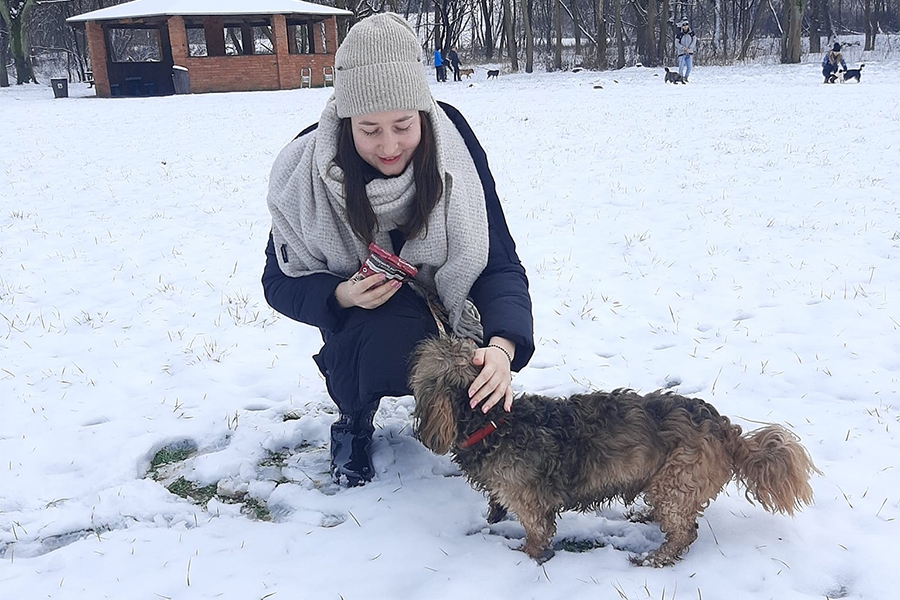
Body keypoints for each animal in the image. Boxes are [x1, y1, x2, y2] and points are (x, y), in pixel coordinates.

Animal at [412, 338, 820, 568]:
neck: (494, 422)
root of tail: (724, 428)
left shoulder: (530, 504)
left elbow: (537, 535)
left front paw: (522, 556)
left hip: (676, 481)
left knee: (684, 532)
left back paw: (654, 558)